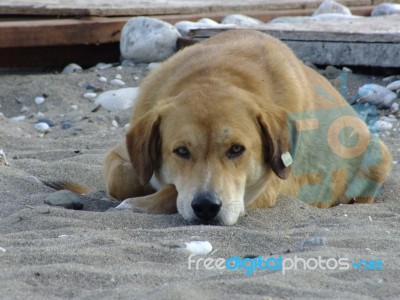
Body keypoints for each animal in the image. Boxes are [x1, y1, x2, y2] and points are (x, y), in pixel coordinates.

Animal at [104, 29, 392, 225]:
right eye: (181, 151)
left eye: (236, 149)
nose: (206, 207)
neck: (215, 74)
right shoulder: (121, 152)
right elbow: (120, 180)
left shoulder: (264, 188)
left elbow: (171, 191)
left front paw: (139, 204)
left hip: (379, 154)